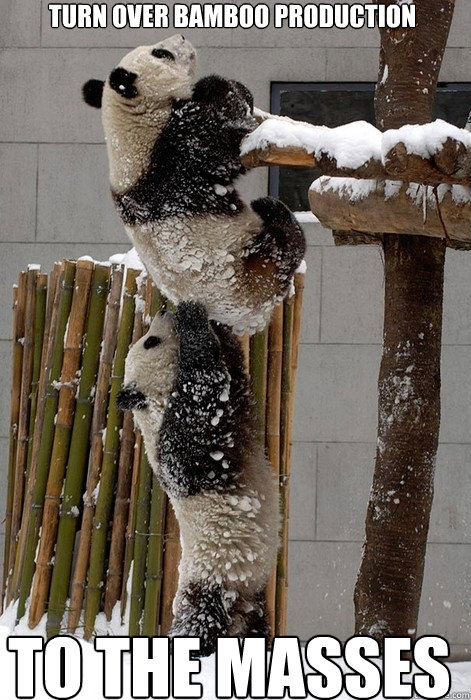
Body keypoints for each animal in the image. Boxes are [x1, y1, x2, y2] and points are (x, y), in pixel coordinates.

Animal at [83, 34, 306, 334]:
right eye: (161, 53)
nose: (182, 36)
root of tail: (246, 321)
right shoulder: (177, 152)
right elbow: (224, 130)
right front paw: (216, 86)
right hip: (253, 267)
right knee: (285, 246)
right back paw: (273, 210)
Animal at [118, 300, 280, 656]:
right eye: (150, 341)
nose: (163, 310)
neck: (153, 404)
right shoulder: (179, 445)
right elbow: (204, 393)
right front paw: (192, 317)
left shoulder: (235, 404)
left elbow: (234, 373)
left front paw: (218, 326)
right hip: (210, 582)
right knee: (197, 626)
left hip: (251, 594)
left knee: (256, 628)